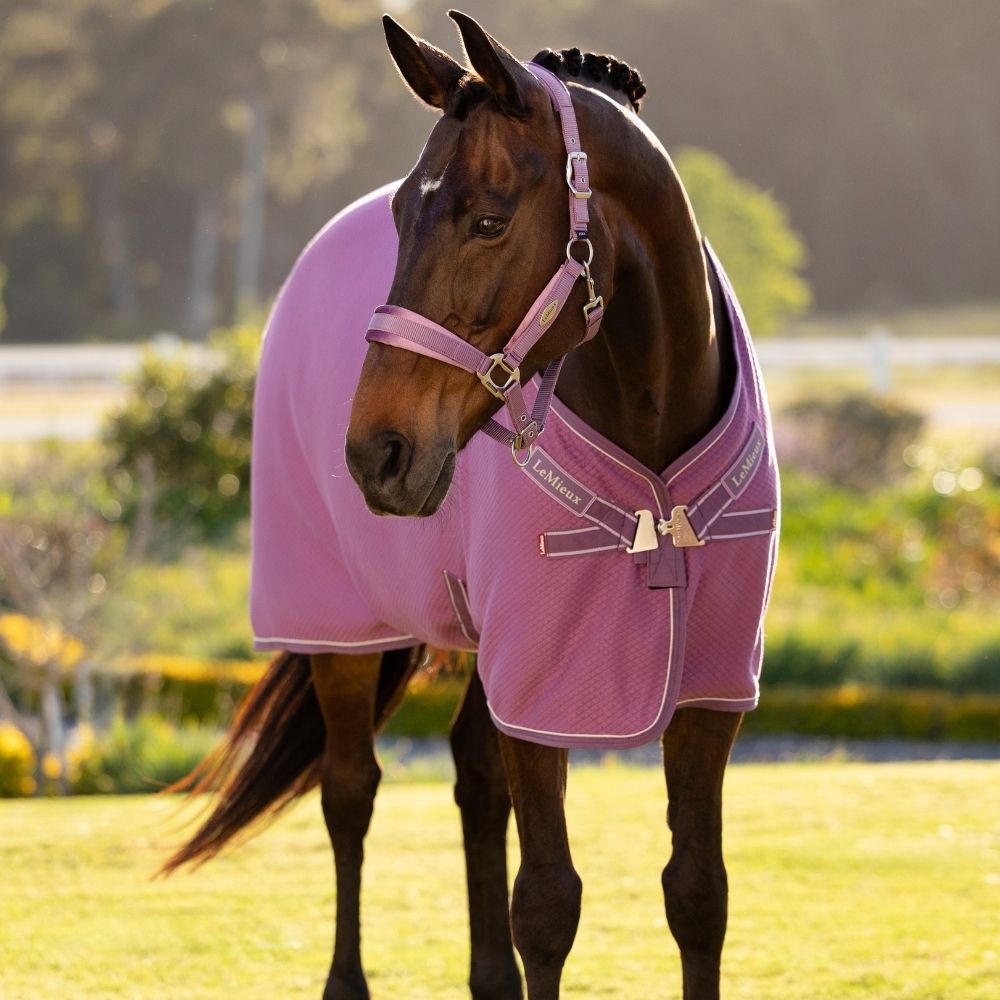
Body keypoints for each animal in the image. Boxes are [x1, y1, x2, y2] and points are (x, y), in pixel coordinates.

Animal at [164, 12, 779, 1000]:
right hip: (343, 630)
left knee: (473, 779)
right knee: (350, 791)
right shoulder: (542, 683)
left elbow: (697, 893)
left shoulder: (708, 691)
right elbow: (550, 904)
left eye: (487, 219)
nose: (377, 452)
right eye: (400, 216)